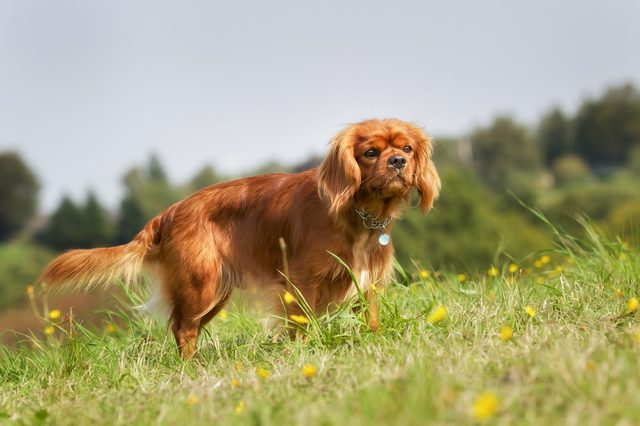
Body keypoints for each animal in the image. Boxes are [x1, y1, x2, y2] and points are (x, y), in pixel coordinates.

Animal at [37, 118, 440, 358]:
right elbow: (301, 323)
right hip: (202, 285)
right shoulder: (301, 281)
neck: (356, 214)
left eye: (407, 149)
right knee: (183, 328)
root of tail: (168, 213)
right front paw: (304, 352)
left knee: (185, 327)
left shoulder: (368, 284)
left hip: (215, 293)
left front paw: (373, 340)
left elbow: (369, 319)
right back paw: (190, 368)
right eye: (371, 152)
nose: (398, 162)